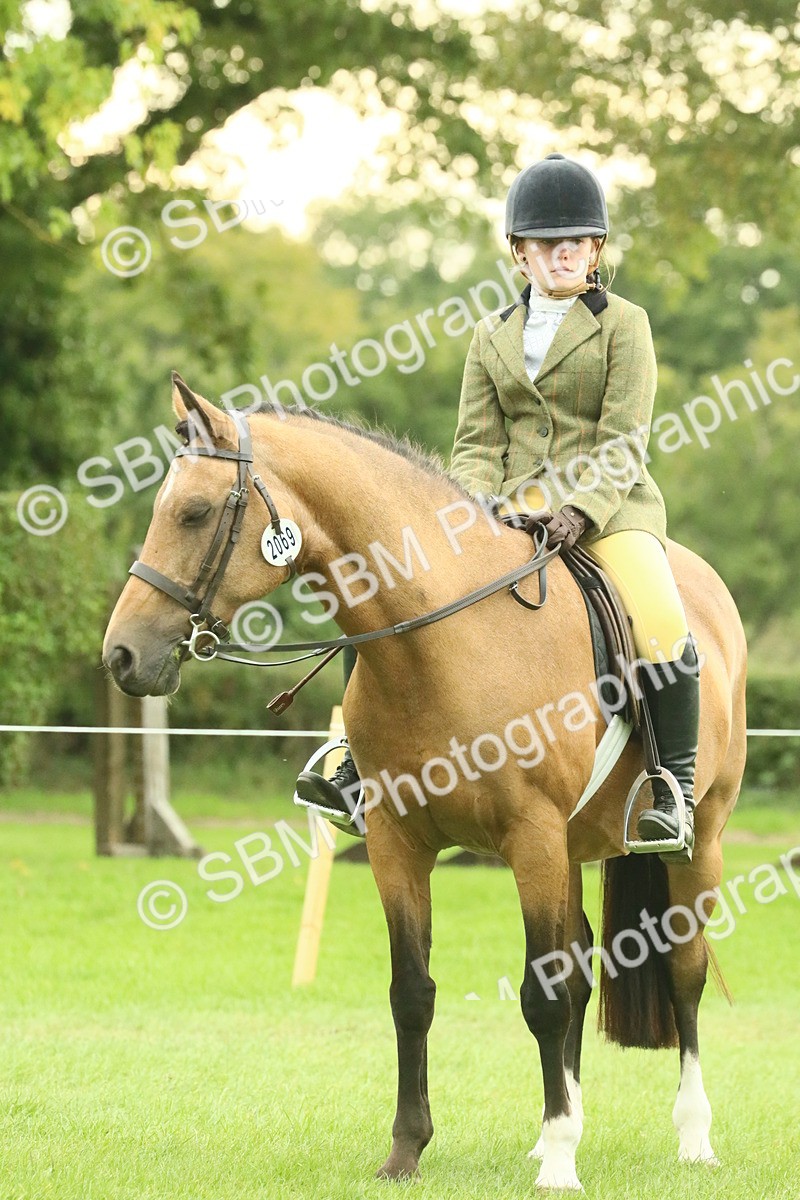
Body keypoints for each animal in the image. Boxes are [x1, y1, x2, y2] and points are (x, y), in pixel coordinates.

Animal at [103, 375, 747, 1192]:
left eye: (193, 512)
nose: (122, 656)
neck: (445, 641)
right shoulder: (398, 844)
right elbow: (412, 994)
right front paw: (407, 1152)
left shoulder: (531, 839)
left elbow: (544, 996)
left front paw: (559, 1165)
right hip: (571, 850)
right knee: (582, 967)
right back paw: (560, 1125)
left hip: (697, 841)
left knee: (682, 972)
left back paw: (691, 1137)